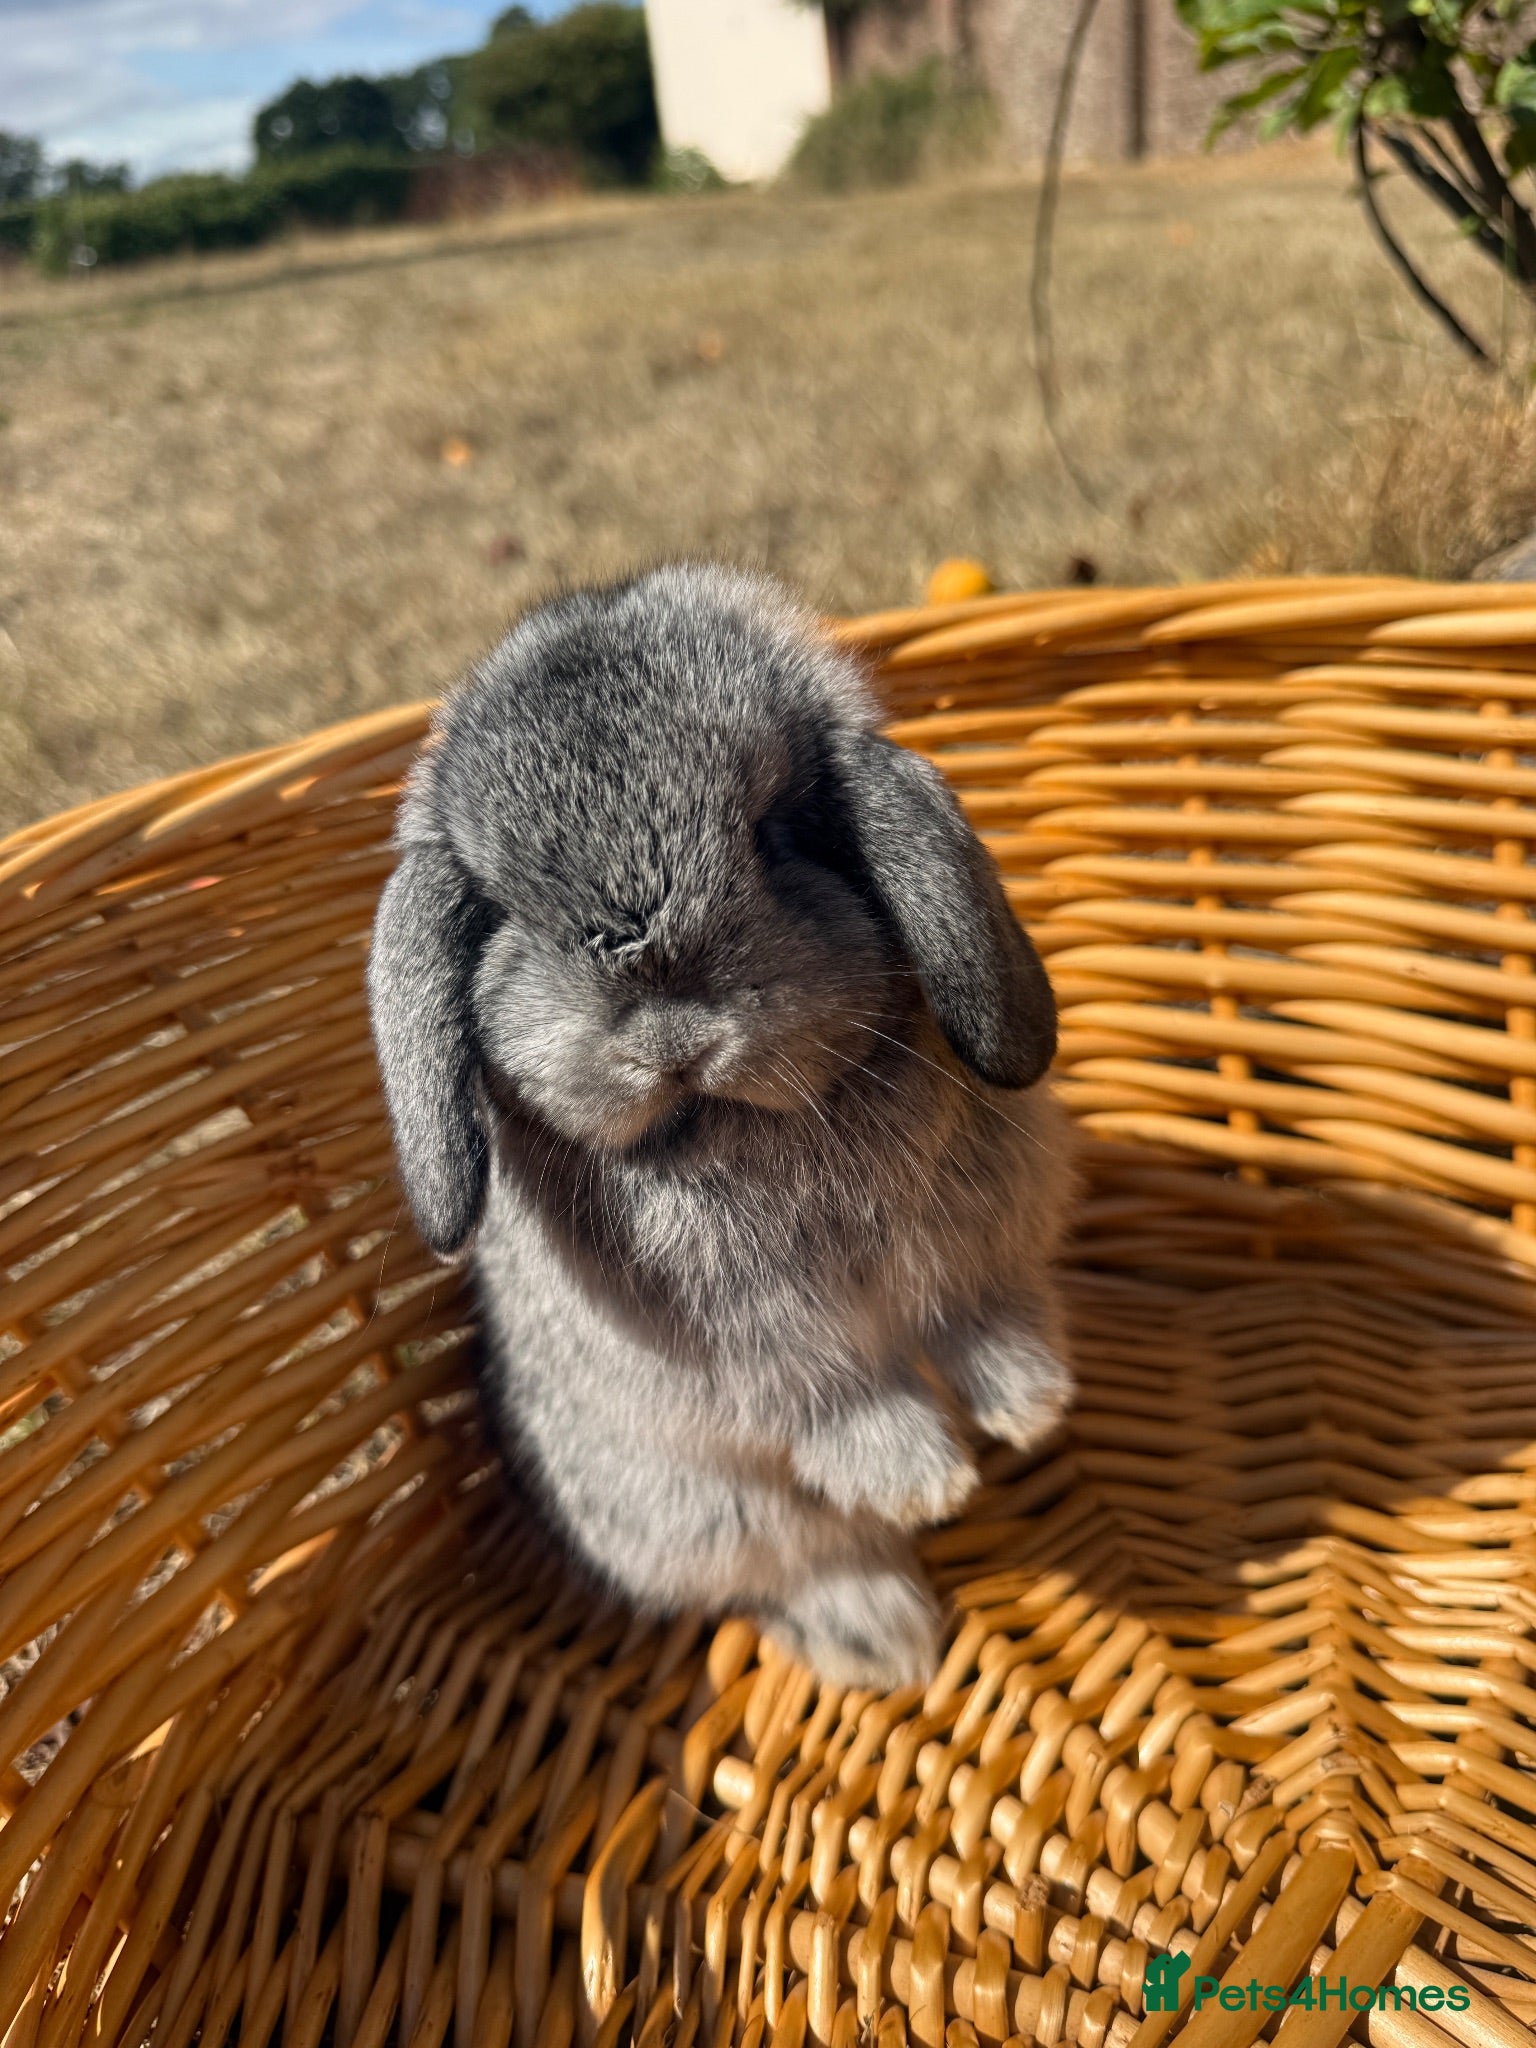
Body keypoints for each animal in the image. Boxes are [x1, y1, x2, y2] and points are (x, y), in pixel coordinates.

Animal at [367, 563, 1074, 1690]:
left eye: (777, 833)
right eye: (502, 913)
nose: (672, 1036)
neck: (738, 1131)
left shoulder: (983, 1260)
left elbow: (983, 1319)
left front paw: (1028, 1404)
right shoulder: (768, 1361)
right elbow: (838, 1405)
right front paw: (928, 1479)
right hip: (707, 1514)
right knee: (798, 1563)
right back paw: (883, 1638)